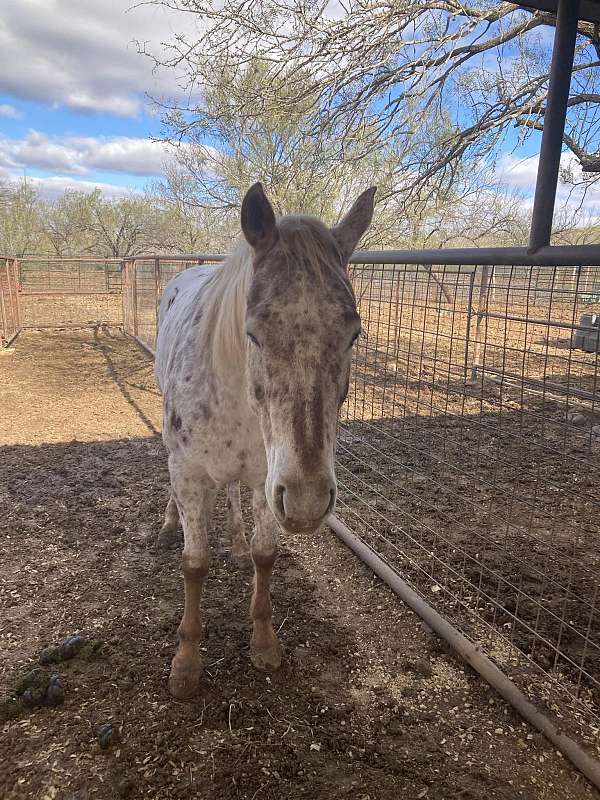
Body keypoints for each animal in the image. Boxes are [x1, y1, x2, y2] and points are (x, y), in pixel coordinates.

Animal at [156, 184, 376, 696]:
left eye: (353, 333)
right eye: (253, 333)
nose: (308, 501)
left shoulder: (265, 477)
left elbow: (265, 554)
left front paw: (263, 641)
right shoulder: (189, 473)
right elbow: (194, 564)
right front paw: (186, 664)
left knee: (234, 496)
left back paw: (235, 542)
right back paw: (169, 522)